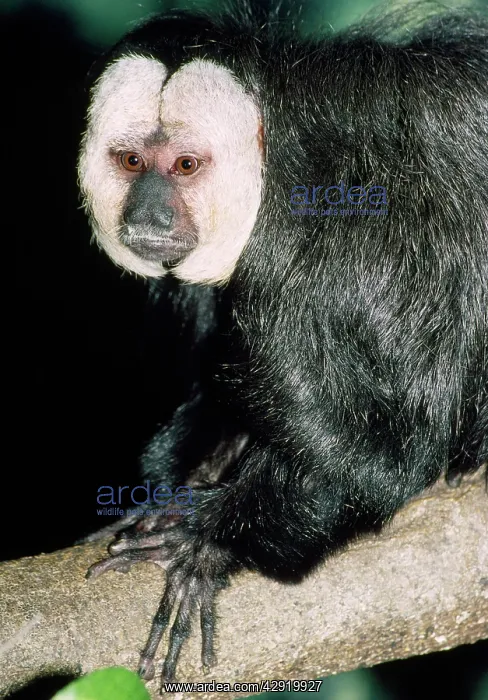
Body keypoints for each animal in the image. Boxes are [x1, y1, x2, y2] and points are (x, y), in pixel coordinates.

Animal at [78, 2, 488, 689]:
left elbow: (382, 459)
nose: (149, 217)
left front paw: (208, 541)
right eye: (131, 161)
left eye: (185, 166)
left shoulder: (340, 244)